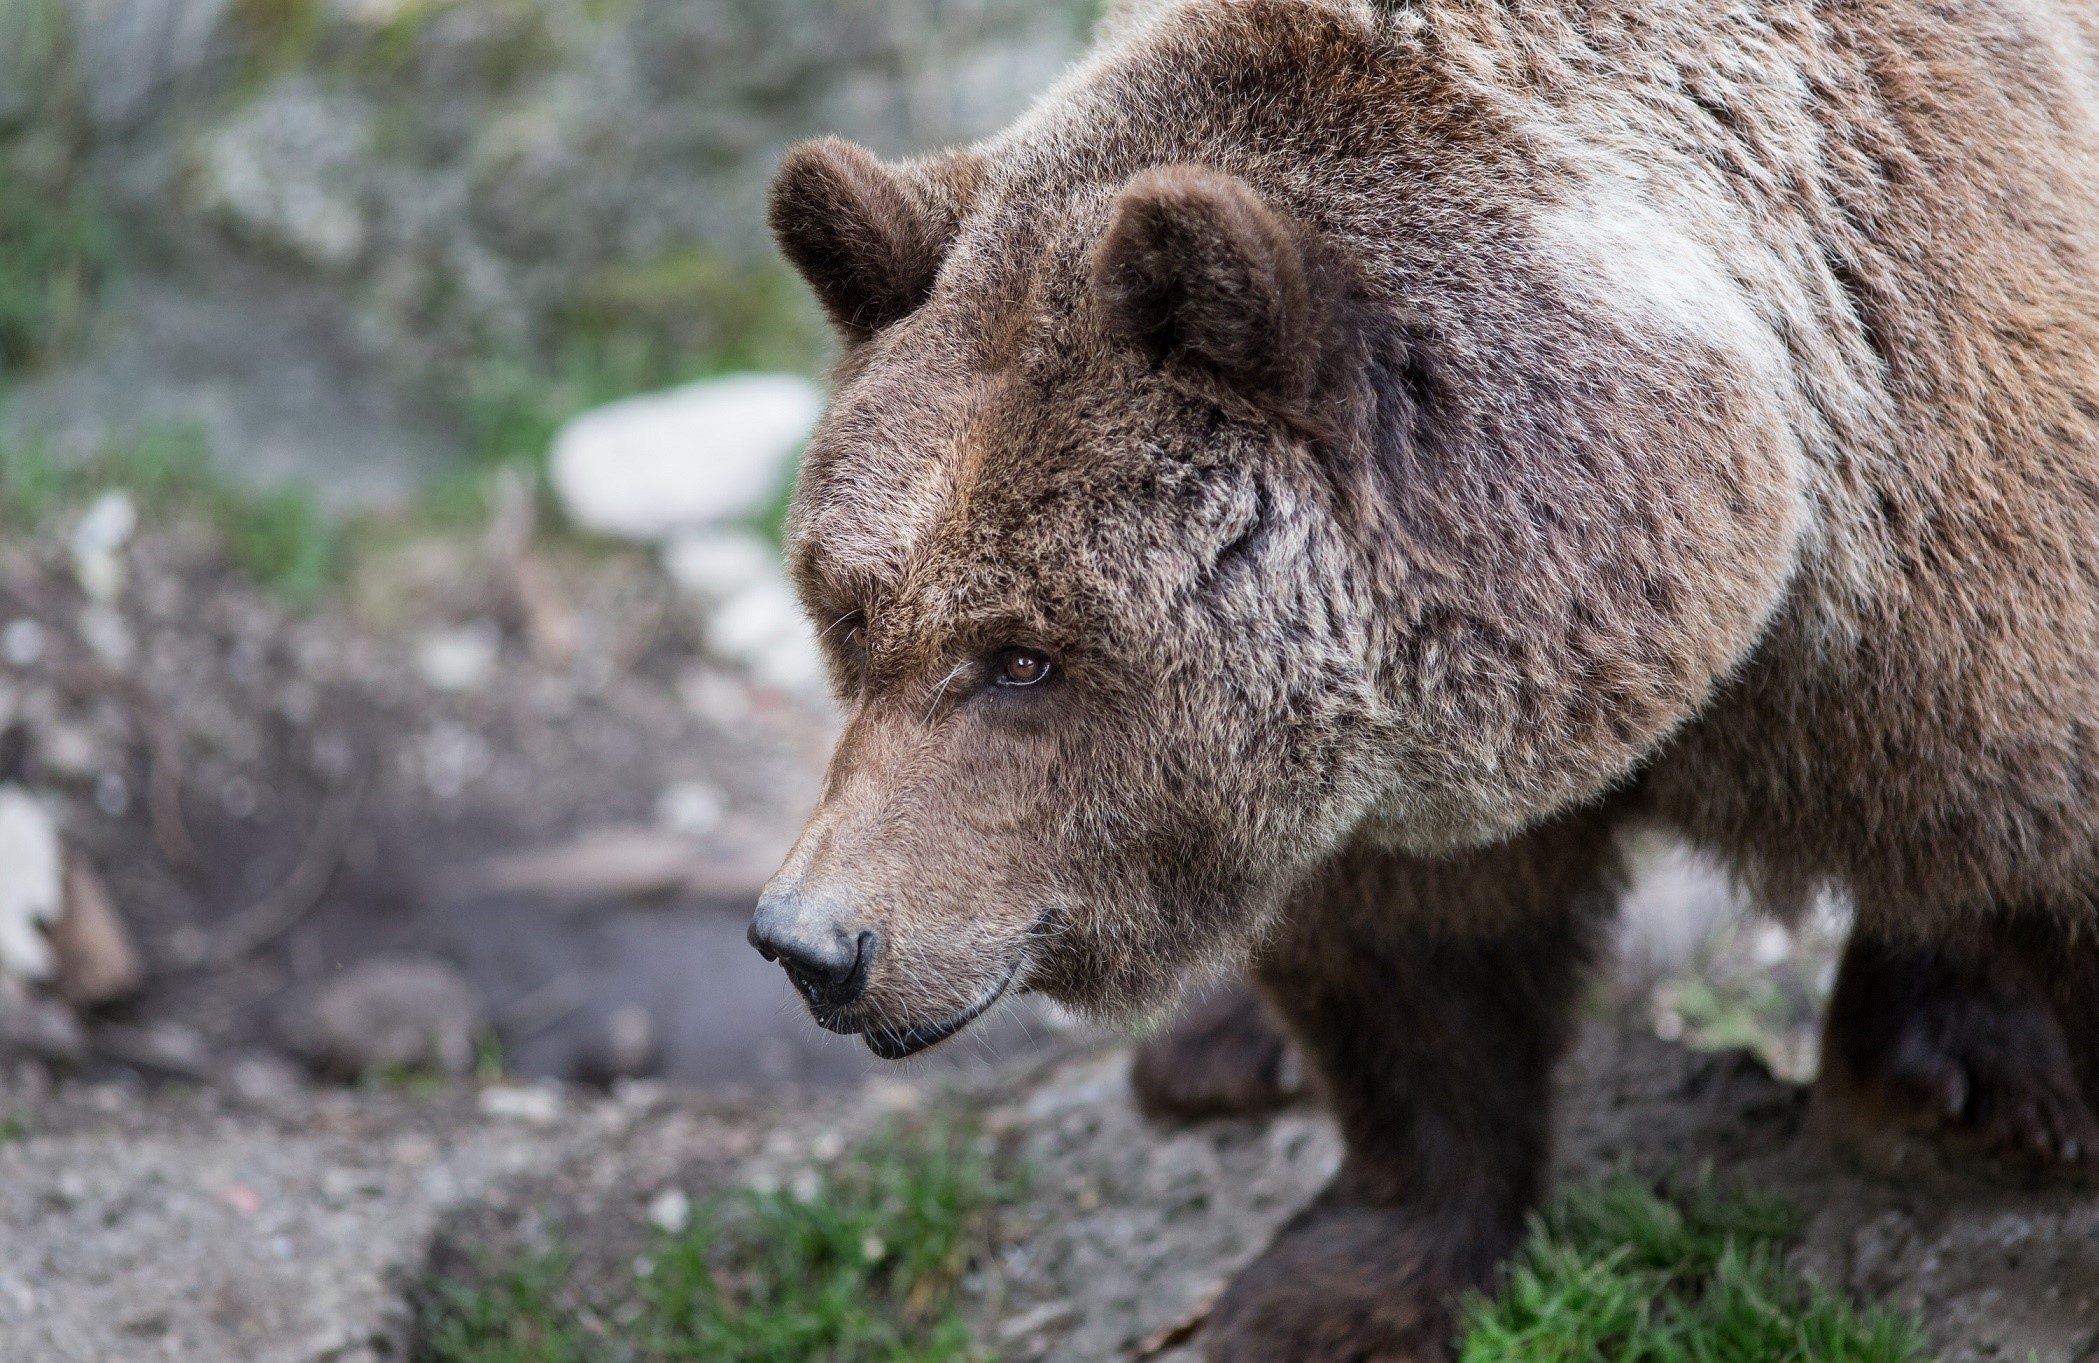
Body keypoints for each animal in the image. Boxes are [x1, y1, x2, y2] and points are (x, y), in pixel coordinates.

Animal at [747, 0, 2099, 1356]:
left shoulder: (1951, 538)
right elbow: (1409, 976)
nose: (811, 942)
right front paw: (1334, 1283)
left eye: (1022, 655)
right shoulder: (1368, 760)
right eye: (852, 613)